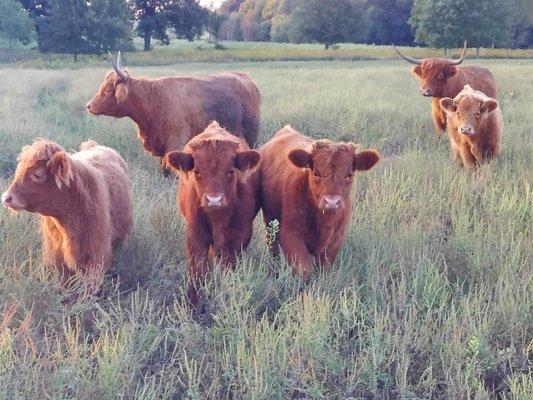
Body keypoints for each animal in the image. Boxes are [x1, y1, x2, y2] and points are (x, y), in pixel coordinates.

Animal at [260, 126, 380, 280]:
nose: (332, 202)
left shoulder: (336, 239)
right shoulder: (290, 235)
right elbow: (304, 269)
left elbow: (324, 268)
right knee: (273, 247)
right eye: (316, 173)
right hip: (270, 220)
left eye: (349, 174)